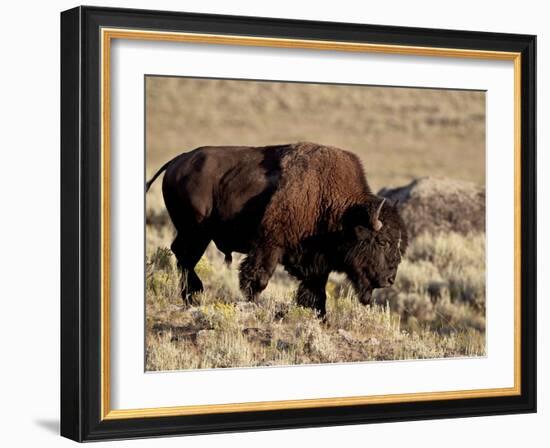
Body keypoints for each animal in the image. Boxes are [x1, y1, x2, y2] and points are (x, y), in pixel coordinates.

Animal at [147, 142, 410, 316]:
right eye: (382, 241)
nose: (390, 278)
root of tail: (177, 161)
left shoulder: (317, 260)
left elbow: (315, 291)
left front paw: (319, 316)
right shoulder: (269, 245)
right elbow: (257, 277)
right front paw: (252, 304)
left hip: (195, 233)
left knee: (182, 257)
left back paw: (192, 296)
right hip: (196, 232)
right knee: (185, 258)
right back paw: (193, 296)